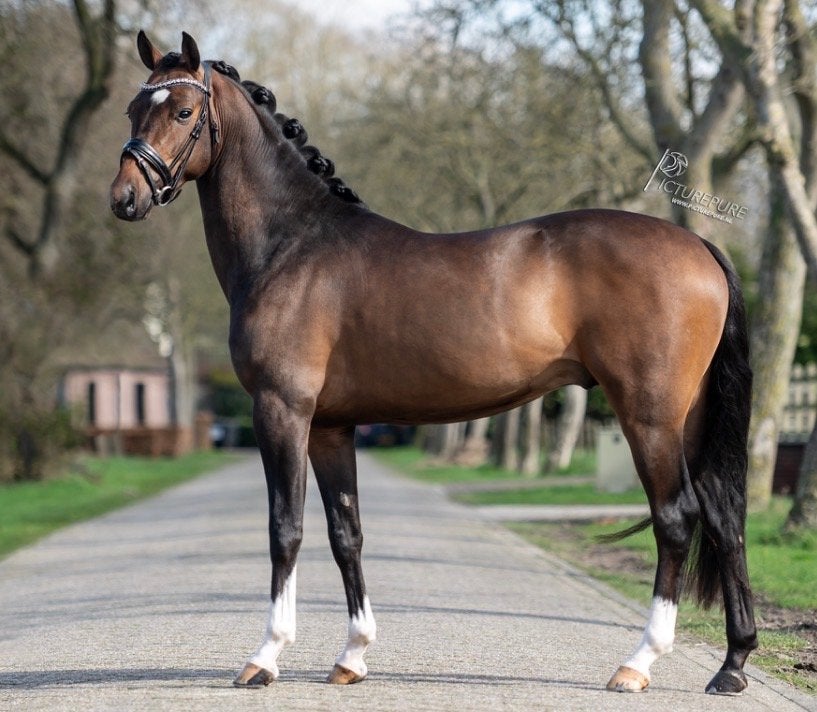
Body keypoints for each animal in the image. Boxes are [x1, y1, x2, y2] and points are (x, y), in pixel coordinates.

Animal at [110, 31, 757, 695]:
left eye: (183, 111)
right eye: (134, 109)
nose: (125, 199)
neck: (292, 246)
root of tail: (699, 245)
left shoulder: (281, 411)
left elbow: (284, 529)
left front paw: (265, 656)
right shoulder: (331, 428)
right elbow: (346, 534)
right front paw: (352, 656)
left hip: (649, 415)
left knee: (676, 518)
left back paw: (639, 662)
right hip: (690, 415)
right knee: (725, 516)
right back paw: (731, 665)